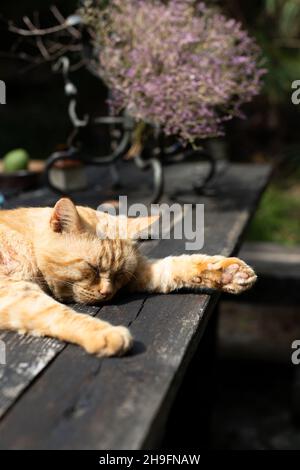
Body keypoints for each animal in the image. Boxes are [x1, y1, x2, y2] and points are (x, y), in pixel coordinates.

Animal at [0, 197, 258, 356]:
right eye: (92, 268)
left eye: (119, 275)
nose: (107, 293)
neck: (28, 238)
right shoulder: (12, 291)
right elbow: (57, 312)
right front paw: (106, 333)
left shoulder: (140, 272)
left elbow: (173, 266)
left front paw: (228, 274)